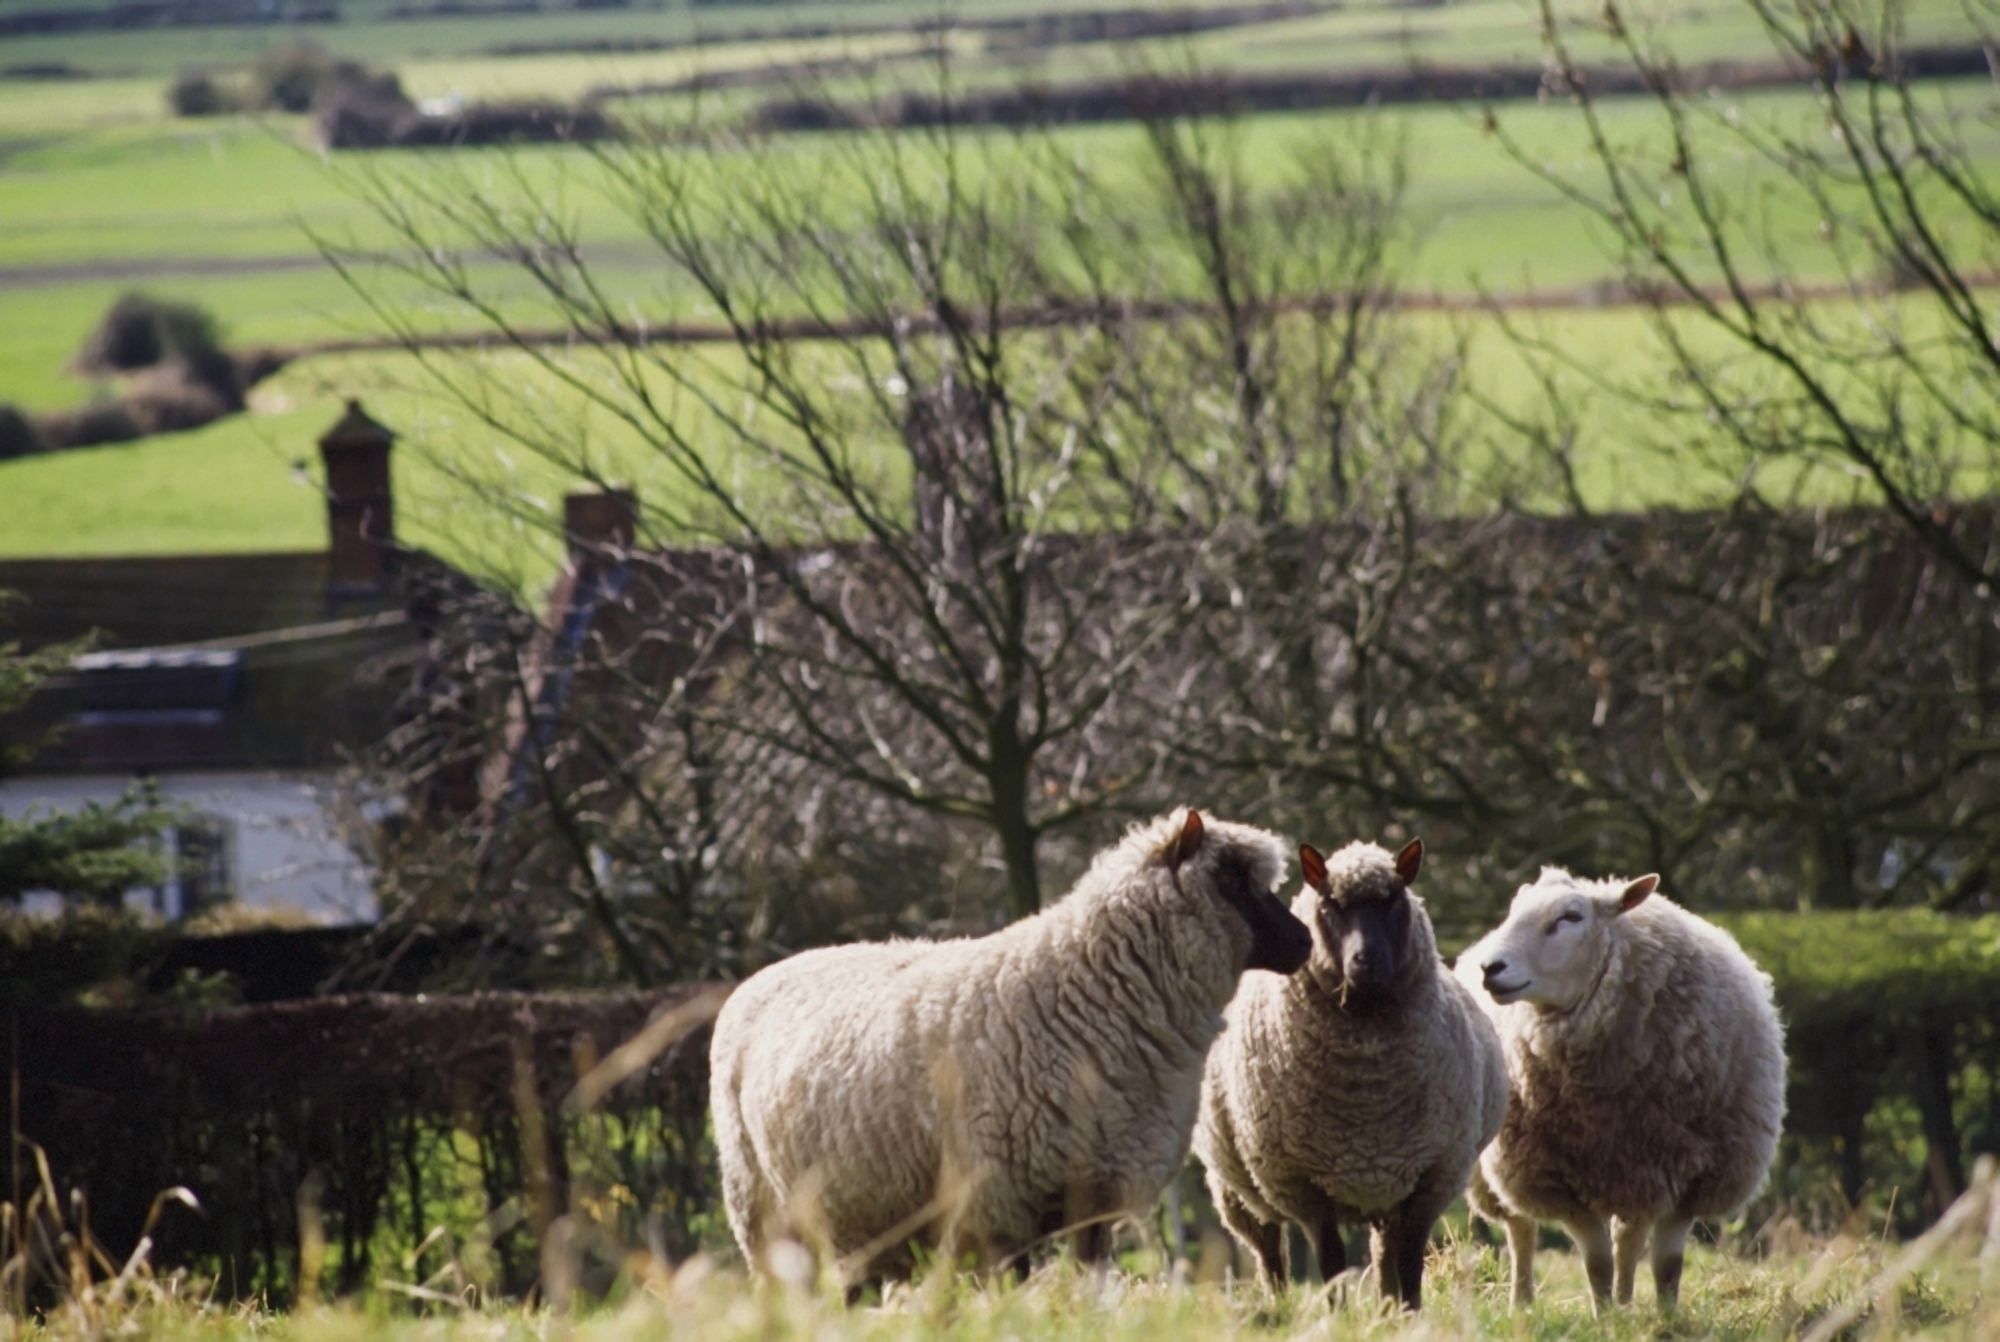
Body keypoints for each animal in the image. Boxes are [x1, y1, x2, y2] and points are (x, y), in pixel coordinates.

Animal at [708, 808, 1313, 1288]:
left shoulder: (1094, 1193)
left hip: (851, 1219)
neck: (1086, 993)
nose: (1305, 941)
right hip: (761, 1213)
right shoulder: (996, 1205)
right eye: (1232, 881)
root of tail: (760, 978)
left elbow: (1091, 1286)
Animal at [1194, 837, 1507, 1310]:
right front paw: (1338, 1315)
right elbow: (1331, 1264)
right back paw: (1279, 1304)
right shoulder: (1304, 1187)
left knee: (1382, 1256)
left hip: (1384, 1186)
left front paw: (1412, 1315)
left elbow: (1409, 1263)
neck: (1367, 1093)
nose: (1366, 961)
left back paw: (1386, 1308)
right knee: (1270, 1252)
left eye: (1394, 900)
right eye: (1330, 904)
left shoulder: (1429, 1179)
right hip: (1237, 1186)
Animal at [1455, 866, 1786, 1314]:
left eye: (1571, 917)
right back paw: (1522, 1303)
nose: (1491, 967)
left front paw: (1661, 1316)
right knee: (1520, 1230)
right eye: (1514, 911)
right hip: (1506, 1166)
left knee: (1625, 1241)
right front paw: (1605, 1316)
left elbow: (1662, 1263)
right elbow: (1597, 1262)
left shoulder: (1682, 1174)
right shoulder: (1558, 1179)